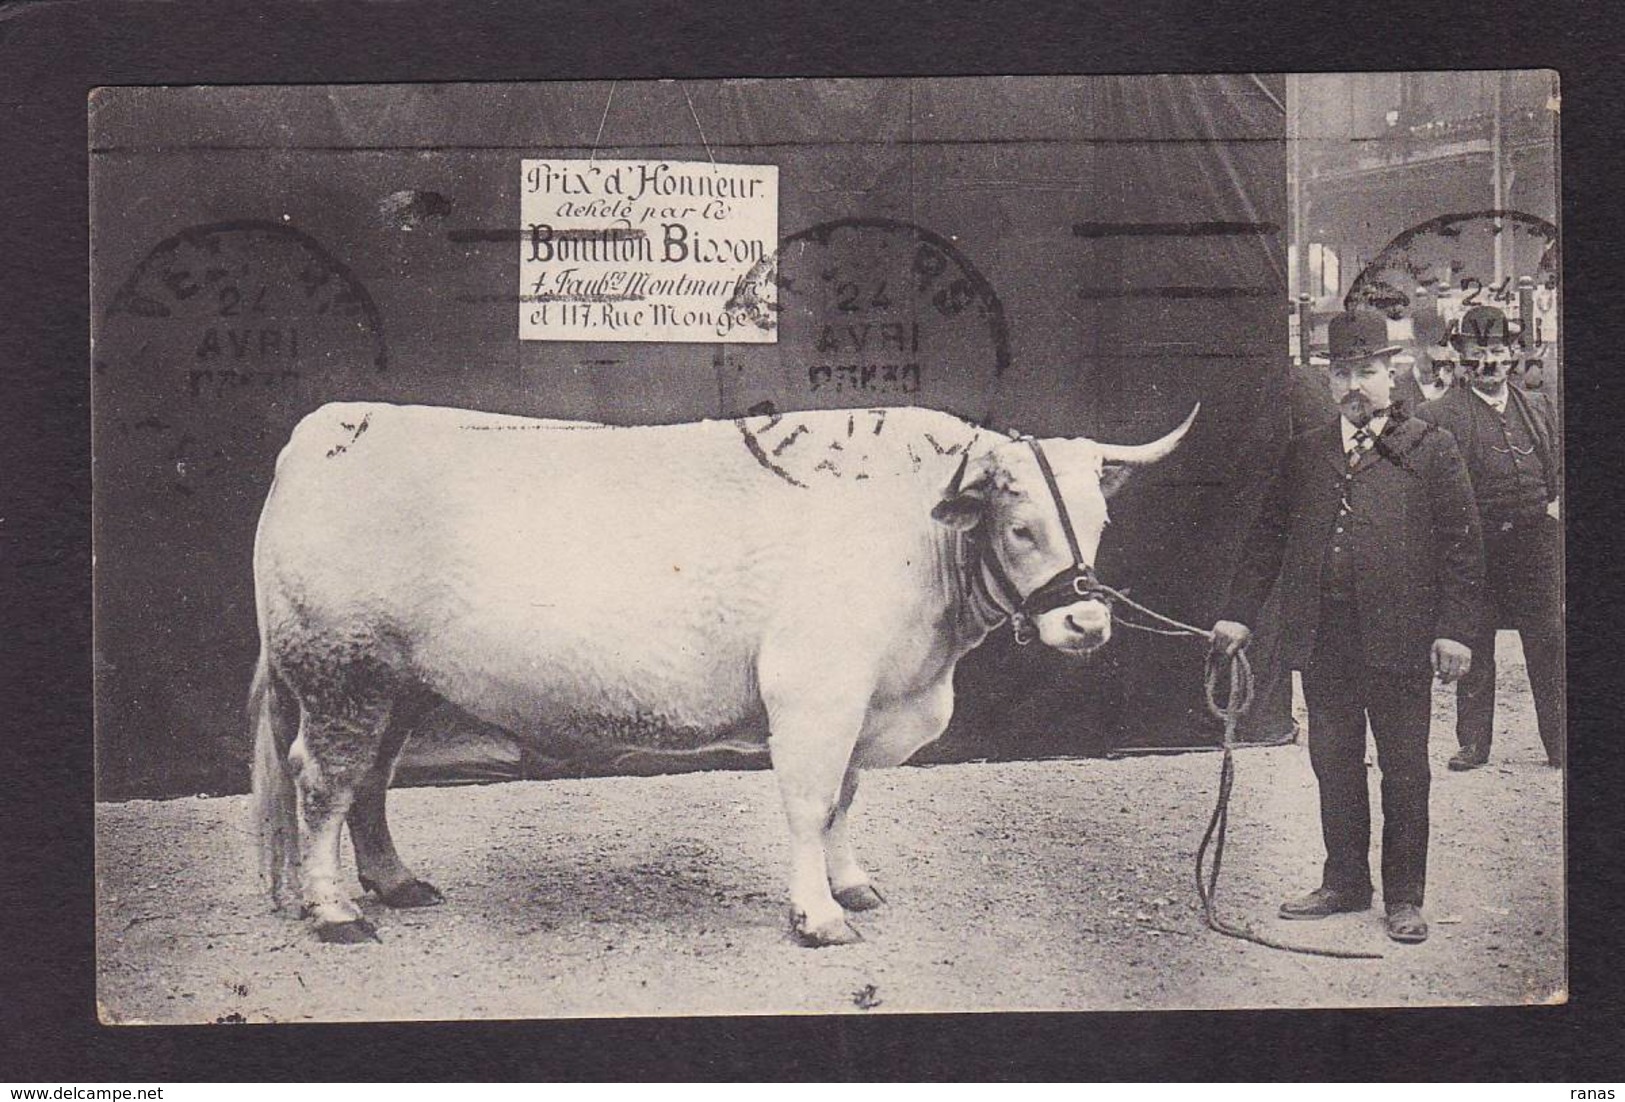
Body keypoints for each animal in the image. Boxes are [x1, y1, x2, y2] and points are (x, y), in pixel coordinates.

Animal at [250, 401, 1196, 942]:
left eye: (1100, 519)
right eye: (1020, 525)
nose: (1086, 623)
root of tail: (321, 430)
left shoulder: (864, 701)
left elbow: (845, 798)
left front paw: (851, 886)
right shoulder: (815, 691)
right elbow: (811, 803)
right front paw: (816, 916)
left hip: (398, 682)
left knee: (370, 781)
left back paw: (396, 884)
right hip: (341, 672)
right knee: (321, 781)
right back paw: (334, 911)